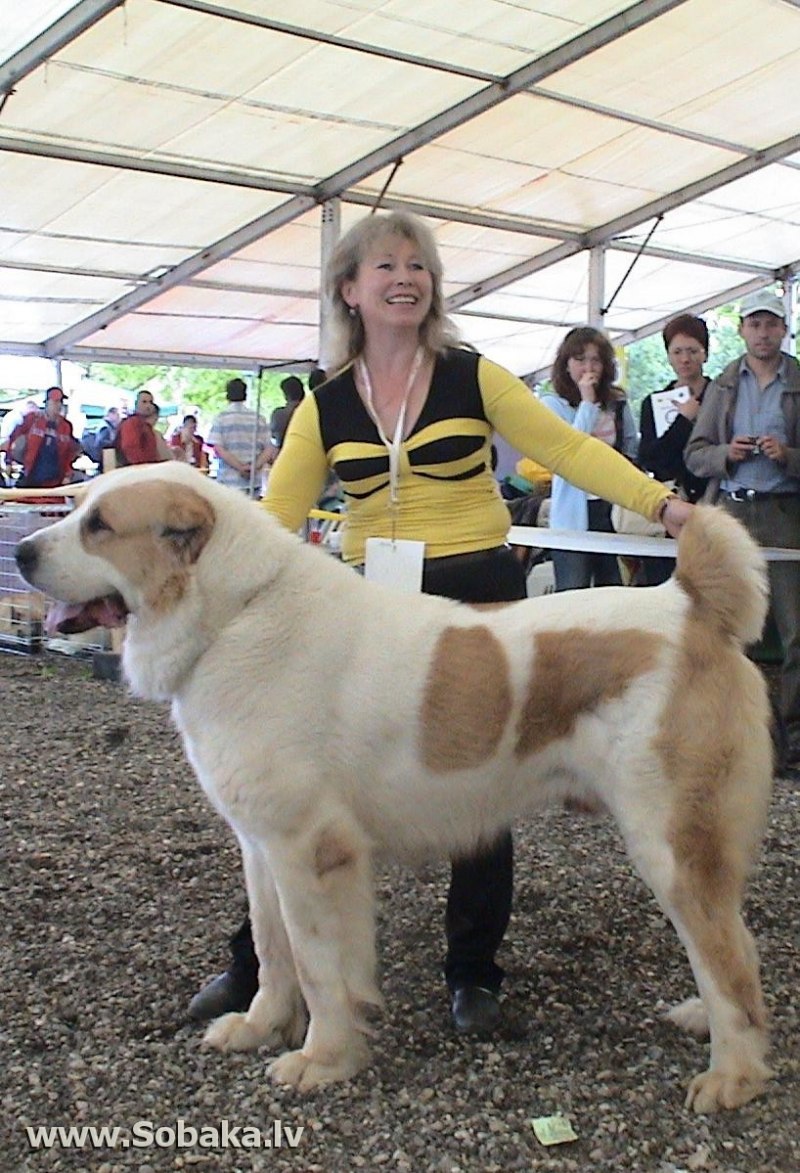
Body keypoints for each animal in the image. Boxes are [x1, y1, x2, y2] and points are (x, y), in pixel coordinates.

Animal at [15, 459, 769, 1107]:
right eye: (76, 505)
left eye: (100, 525)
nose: (21, 552)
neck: (235, 613)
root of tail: (690, 605)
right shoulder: (261, 846)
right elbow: (273, 950)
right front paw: (262, 1026)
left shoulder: (310, 851)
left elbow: (317, 964)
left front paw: (322, 1059)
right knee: (733, 941)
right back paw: (706, 1020)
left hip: (669, 842)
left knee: (727, 956)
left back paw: (732, 1077)